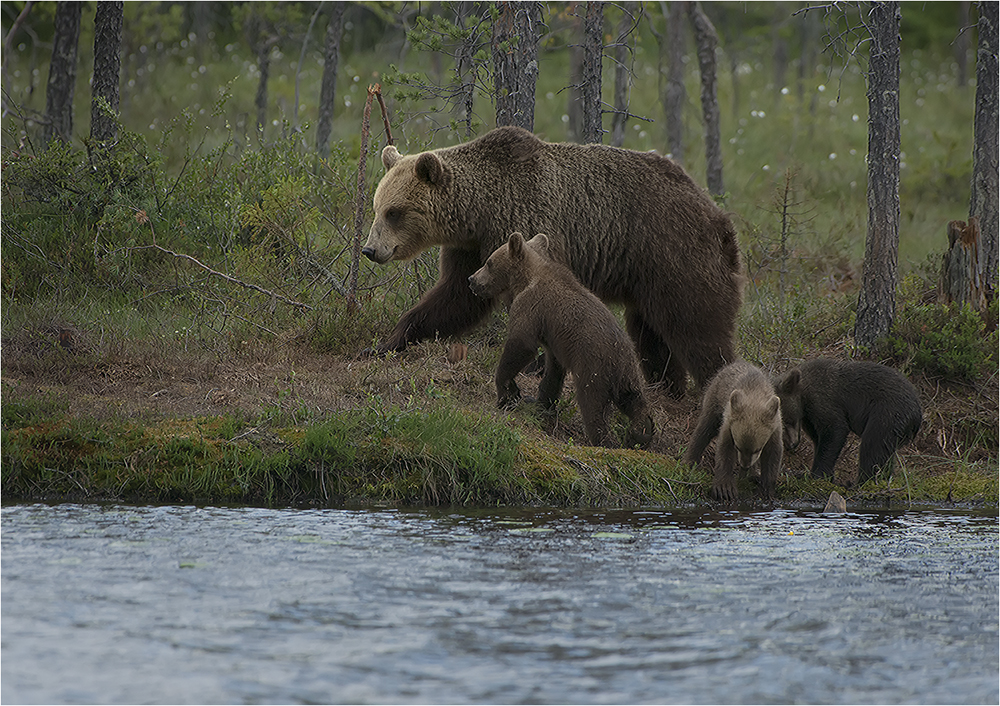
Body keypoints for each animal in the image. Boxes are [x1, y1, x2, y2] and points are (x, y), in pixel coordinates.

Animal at [360, 124, 744, 394]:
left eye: (394, 212)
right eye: (376, 208)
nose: (370, 250)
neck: (478, 212)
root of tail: (718, 215)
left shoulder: (524, 223)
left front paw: (538, 363)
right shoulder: (470, 248)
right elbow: (455, 297)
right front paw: (387, 342)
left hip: (674, 253)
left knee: (697, 326)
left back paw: (714, 380)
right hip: (648, 276)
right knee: (651, 332)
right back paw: (666, 384)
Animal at [468, 228, 656, 446]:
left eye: (488, 262)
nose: (471, 279)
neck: (523, 281)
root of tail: (624, 358)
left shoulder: (530, 307)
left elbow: (521, 344)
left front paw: (506, 393)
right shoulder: (555, 342)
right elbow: (553, 373)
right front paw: (539, 403)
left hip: (593, 369)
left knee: (593, 406)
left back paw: (603, 440)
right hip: (629, 376)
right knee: (635, 403)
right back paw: (641, 433)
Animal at [684, 358, 784, 500]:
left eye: (757, 449)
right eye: (738, 447)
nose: (744, 465)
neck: (755, 395)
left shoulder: (775, 426)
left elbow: (773, 454)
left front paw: (766, 489)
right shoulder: (729, 419)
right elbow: (724, 447)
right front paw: (725, 488)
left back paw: (753, 475)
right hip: (714, 398)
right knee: (704, 429)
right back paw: (690, 460)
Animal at [772, 358, 920, 484]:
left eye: (786, 421)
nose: (792, 444)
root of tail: (918, 414)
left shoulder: (823, 400)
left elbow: (834, 430)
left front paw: (817, 475)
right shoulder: (810, 419)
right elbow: (818, 439)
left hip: (887, 413)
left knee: (873, 445)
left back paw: (860, 482)